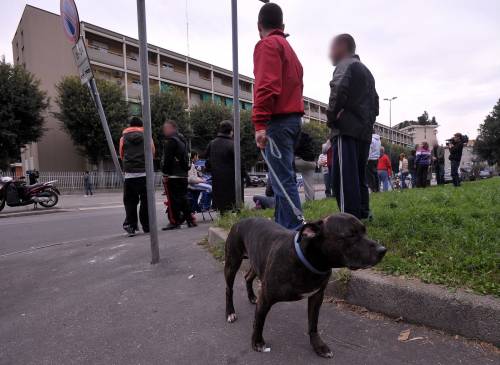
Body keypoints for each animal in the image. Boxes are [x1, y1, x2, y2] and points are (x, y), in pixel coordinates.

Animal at [225, 212, 388, 356]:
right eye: (350, 235)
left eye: (365, 231)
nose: (383, 250)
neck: (307, 260)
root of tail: (240, 220)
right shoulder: (265, 298)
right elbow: (259, 321)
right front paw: (257, 342)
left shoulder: (316, 297)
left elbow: (313, 324)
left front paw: (318, 345)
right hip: (232, 263)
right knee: (229, 289)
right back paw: (230, 312)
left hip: (255, 263)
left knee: (247, 277)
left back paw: (251, 297)